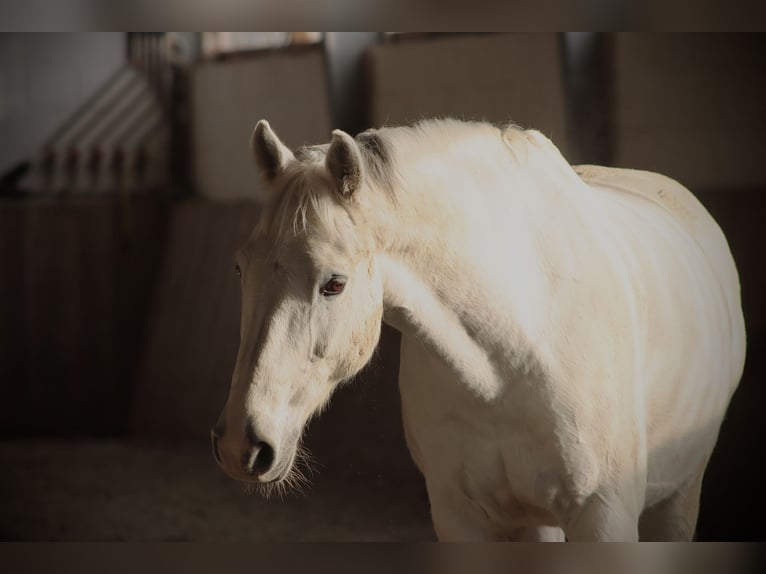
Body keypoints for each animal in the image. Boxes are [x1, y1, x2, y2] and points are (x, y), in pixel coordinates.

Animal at [211, 118, 746, 541]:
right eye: (239, 268)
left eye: (334, 283)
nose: (241, 445)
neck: (514, 354)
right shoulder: (461, 518)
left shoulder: (604, 516)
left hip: (678, 497)